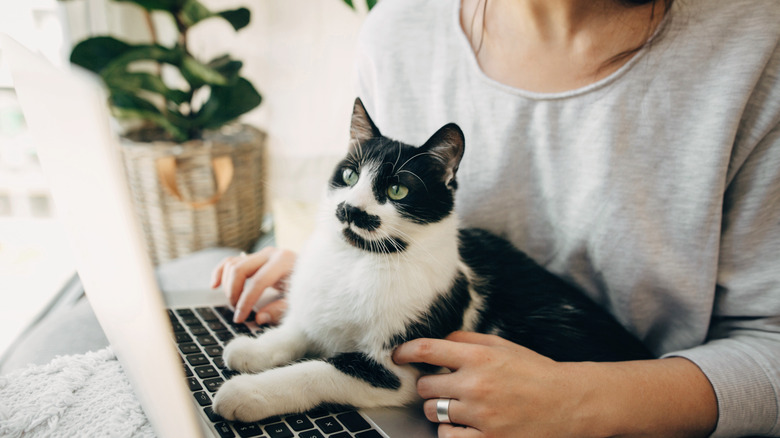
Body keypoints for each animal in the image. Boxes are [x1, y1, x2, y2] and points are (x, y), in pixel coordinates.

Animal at [209, 98, 652, 420]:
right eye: (349, 176)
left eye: (398, 190)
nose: (349, 209)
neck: (359, 261)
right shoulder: (321, 311)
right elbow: (299, 330)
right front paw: (251, 350)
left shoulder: (397, 371)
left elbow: (319, 370)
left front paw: (245, 393)